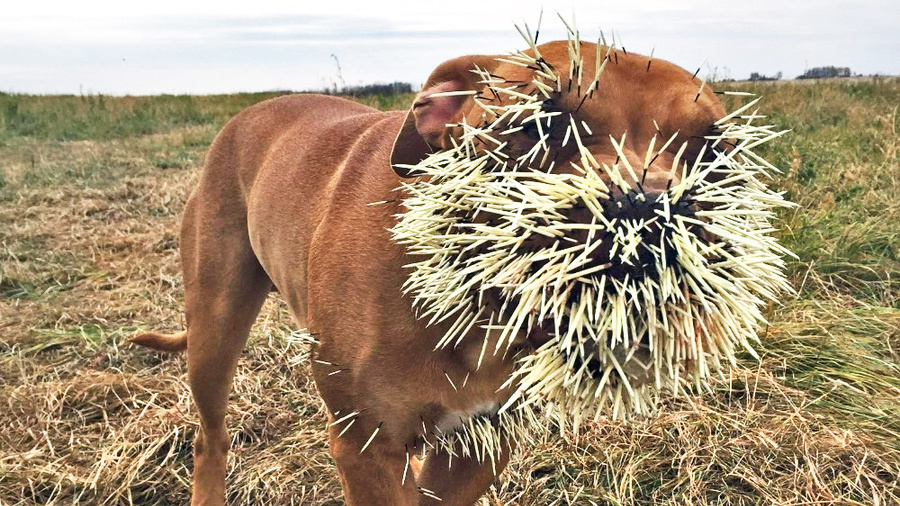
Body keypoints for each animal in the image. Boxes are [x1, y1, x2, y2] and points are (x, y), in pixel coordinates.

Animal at [132, 39, 724, 506]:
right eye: (541, 126)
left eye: (715, 151)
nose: (651, 210)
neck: (476, 302)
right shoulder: (366, 447)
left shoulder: (483, 444)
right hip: (215, 329)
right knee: (210, 437)